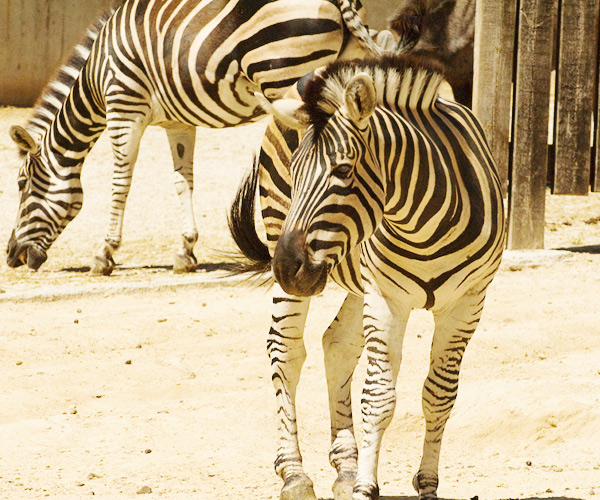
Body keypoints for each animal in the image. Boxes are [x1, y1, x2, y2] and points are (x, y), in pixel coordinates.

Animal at [7, 0, 400, 274]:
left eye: (23, 184)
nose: (11, 257)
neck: (96, 77)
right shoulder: (177, 124)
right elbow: (183, 182)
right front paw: (185, 251)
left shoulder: (124, 108)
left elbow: (121, 184)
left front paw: (104, 255)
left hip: (286, 79)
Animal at [230, 54, 506, 500]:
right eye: (295, 171)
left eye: (343, 170)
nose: (285, 267)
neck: (422, 225)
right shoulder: (387, 297)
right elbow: (378, 397)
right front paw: (365, 486)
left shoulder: (467, 304)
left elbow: (439, 395)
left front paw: (425, 484)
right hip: (287, 240)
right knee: (285, 350)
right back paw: (294, 472)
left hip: (356, 281)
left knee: (337, 344)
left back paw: (345, 465)